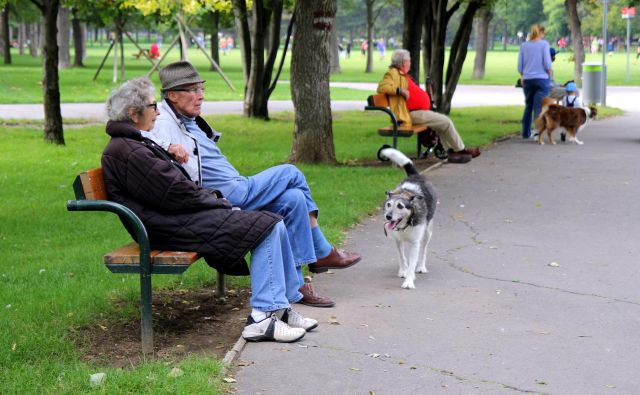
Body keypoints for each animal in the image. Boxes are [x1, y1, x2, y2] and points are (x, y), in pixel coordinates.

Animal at [378, 148, 438, 290]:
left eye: (400, 206)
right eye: (388, 204)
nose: (388, 216)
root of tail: (415, 176)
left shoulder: (415, 243)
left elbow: (412, 263)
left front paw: (409, 281)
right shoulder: (397, 240)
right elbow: (401, 257)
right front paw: (403, 271)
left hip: (427, 232)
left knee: (424, 250)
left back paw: (421, 266)